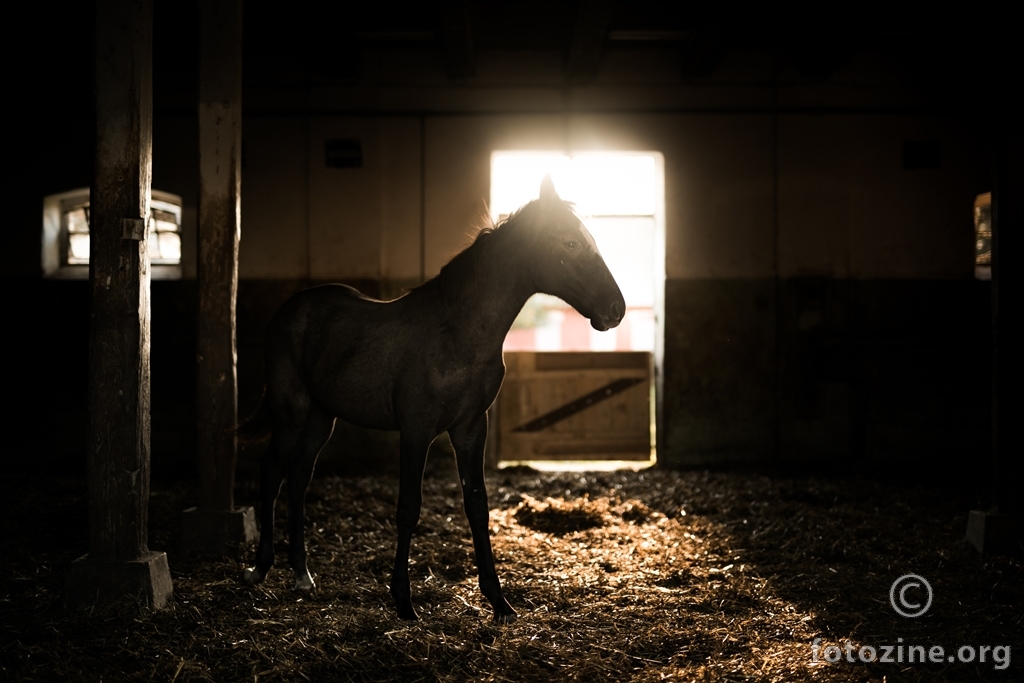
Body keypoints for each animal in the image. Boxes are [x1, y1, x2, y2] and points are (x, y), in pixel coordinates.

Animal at [237, 178, 622, 626]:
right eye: (571, 242)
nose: (616, 309)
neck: (458, 333)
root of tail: (291, 308)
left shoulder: (471, 428)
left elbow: (477, 506)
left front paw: (499, 602)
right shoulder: (416, 430)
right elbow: (408, 507)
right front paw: (404, 602)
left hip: (322, 416)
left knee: (299, 475)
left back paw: (302, 574)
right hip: (291, 411)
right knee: (272, 471)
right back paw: (259, 568)